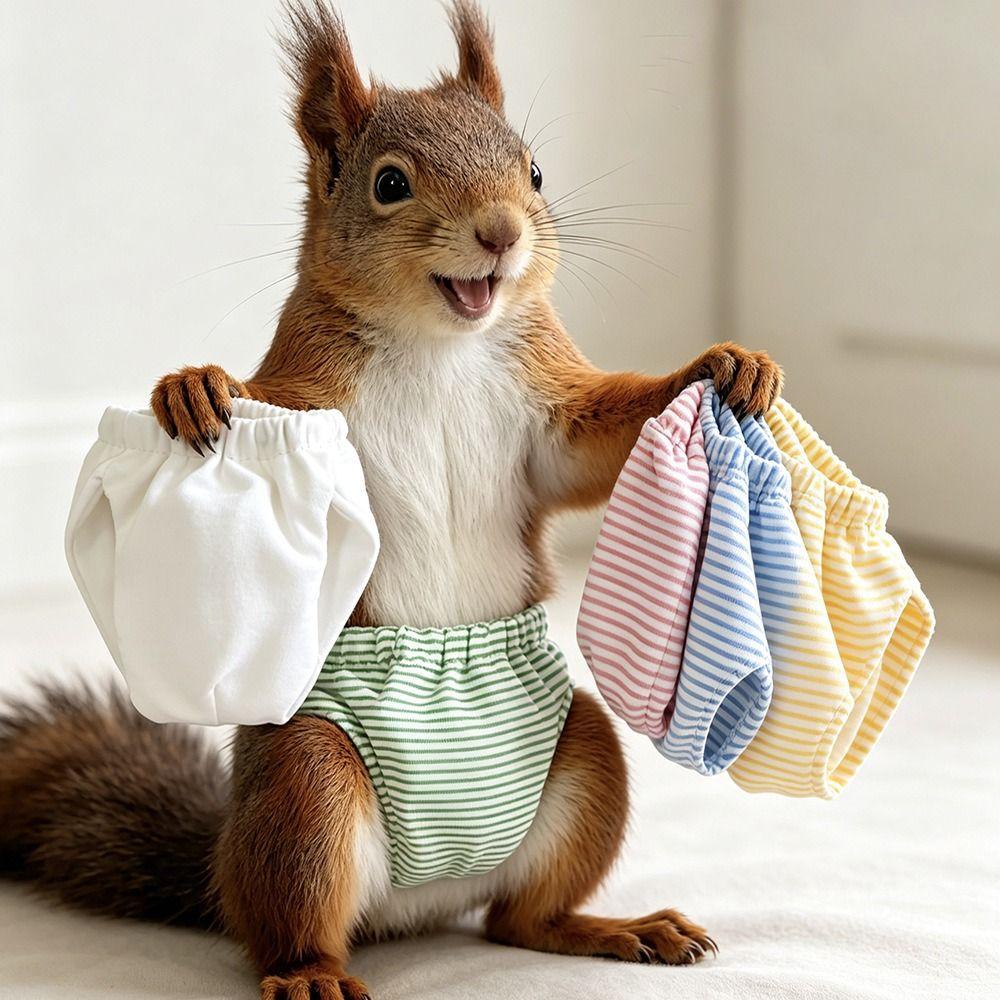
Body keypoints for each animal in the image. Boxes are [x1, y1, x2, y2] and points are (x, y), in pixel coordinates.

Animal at [0, 3, 782, 999]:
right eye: (389, 184)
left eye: (534, 171)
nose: (501, 232)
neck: (441, 343)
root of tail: (422, 900)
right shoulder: (306, 398)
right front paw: (195, 385)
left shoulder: (548, 417)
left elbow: (593, 447)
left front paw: (725, 364)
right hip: (306, 788)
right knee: (295, 924)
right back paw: (310, 973)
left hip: (585, 754)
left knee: (518, 920)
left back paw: (613, 928)